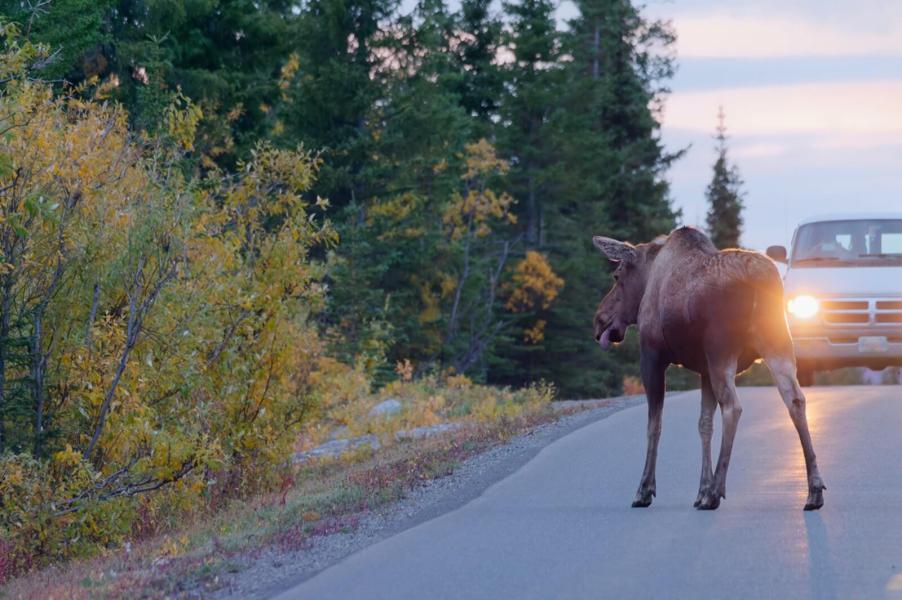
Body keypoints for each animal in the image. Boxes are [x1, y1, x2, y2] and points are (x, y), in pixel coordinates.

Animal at [592, 226, 825, 511]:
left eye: (617, 275)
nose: (600, 320)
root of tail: (759, 279)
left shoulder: (652, 356)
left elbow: (654, 425)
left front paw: (645, 489)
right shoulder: (703, 369)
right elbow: (704, 424)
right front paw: (701, 490)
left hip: (721, 350)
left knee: (733, 407)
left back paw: (717, 490)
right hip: (777, 343)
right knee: (795, 400)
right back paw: (814, 491)